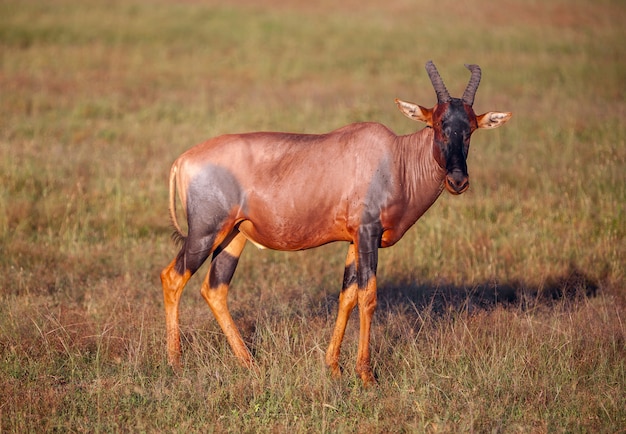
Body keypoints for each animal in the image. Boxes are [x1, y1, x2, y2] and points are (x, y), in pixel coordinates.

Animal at [158, 60, 510, 384]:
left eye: (471, 128)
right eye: (438, 124)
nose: (458, 181)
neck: (393, 158)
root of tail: (183, 159)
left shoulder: (355, 239)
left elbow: (348, 296)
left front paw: (334, 368)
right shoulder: (368, 233)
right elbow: (368, 296)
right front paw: (366, 375)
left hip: (234, 235)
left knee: (215, 289)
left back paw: (250, 364)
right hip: (205, 232)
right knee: (173, 277)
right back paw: (176, 364)